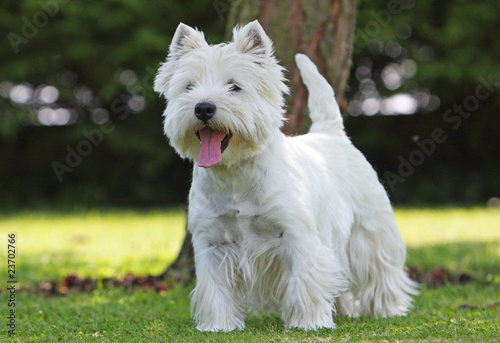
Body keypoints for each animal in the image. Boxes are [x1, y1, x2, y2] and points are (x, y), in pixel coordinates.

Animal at [154, 20, 420, 332]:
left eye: (235, 86)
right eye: (189, 87)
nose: (203, 107)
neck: (235, 176)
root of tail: (331, 133)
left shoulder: (298, 236)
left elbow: (306, 279)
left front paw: (310, 322)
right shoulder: (211, 242)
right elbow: (216, 288)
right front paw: (219, 326)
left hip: (369, 228)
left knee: (380, 269)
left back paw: (388, 309)